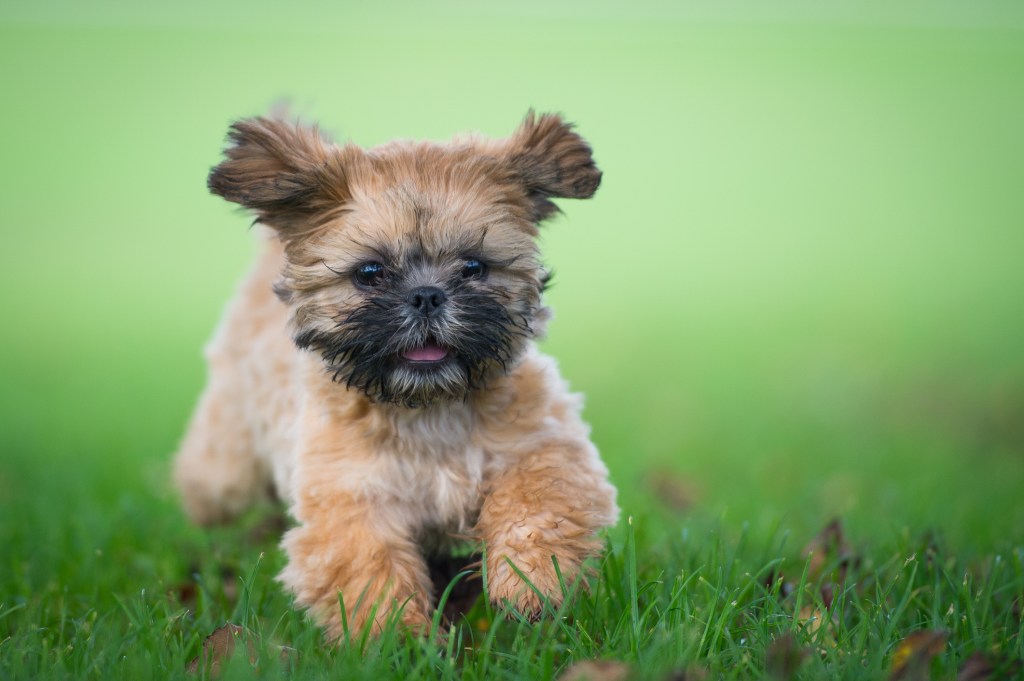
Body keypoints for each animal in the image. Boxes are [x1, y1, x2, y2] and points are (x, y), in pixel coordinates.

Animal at [174, 111, 614, 639]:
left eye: (474, 266)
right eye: (369, 272)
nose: (426, 295)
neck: (428, 408)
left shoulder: (542, 444)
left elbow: (540, 503)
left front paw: (531, 586)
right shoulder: (350, 498)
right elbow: (370, 570)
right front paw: (398, 637)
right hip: (228, 467)